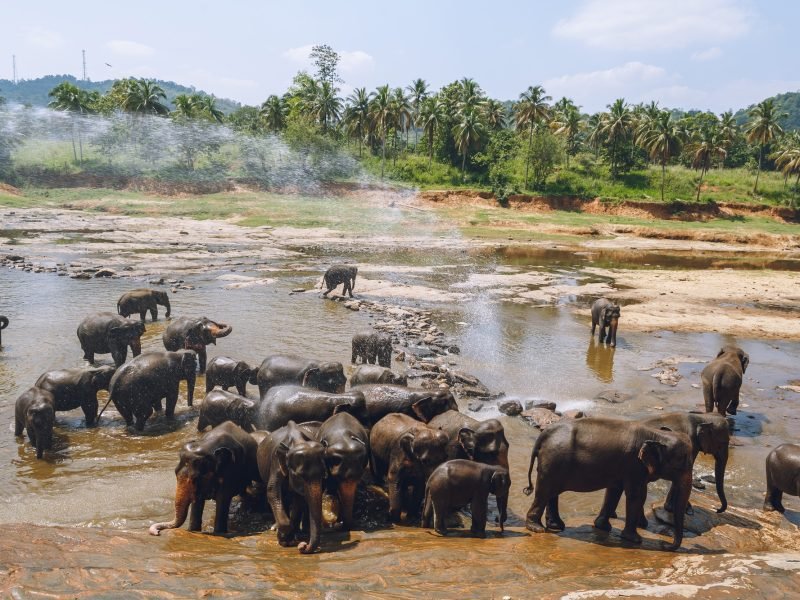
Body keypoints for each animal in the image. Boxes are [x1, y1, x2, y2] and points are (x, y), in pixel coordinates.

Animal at [257, 421, 327, 554]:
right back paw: (276, 527)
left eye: (323, 475)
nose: (303, 546)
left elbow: (298, 499)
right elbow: (272, 491)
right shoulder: (276, 461)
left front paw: (289, 539)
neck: (298, 440)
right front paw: (284, 539)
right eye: (300, 476)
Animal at [523, 417, 694, 551]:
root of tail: (545, 433)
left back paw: (556, 526)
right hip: (552, 461)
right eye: (682, 465)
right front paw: (635, 539)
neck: (658, 435)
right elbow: (636, 495)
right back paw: (537, 528)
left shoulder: (622, 468)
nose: (665, 545)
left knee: (552, 492)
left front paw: (603, 527)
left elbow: (614, 490)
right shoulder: (634, 466)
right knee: (545, 491)